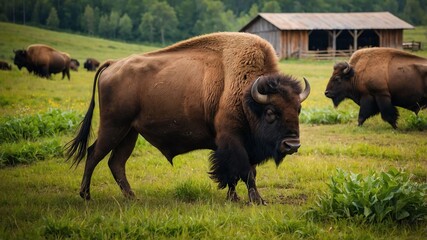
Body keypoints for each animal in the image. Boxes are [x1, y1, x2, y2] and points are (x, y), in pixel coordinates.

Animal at [66, 31, 310, 204]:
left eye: (298, 109)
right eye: (271, 112)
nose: (292, 144)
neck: (246, 93)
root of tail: (113, 64)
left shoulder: (239, 145)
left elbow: (236, 173)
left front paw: (235, 198)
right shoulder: (233, 140)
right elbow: (246, 171)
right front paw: (257, 200)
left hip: (129, 133)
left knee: (116, 162)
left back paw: (132, 197)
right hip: (113, 127)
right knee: (94, 154)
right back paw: (86, 195)